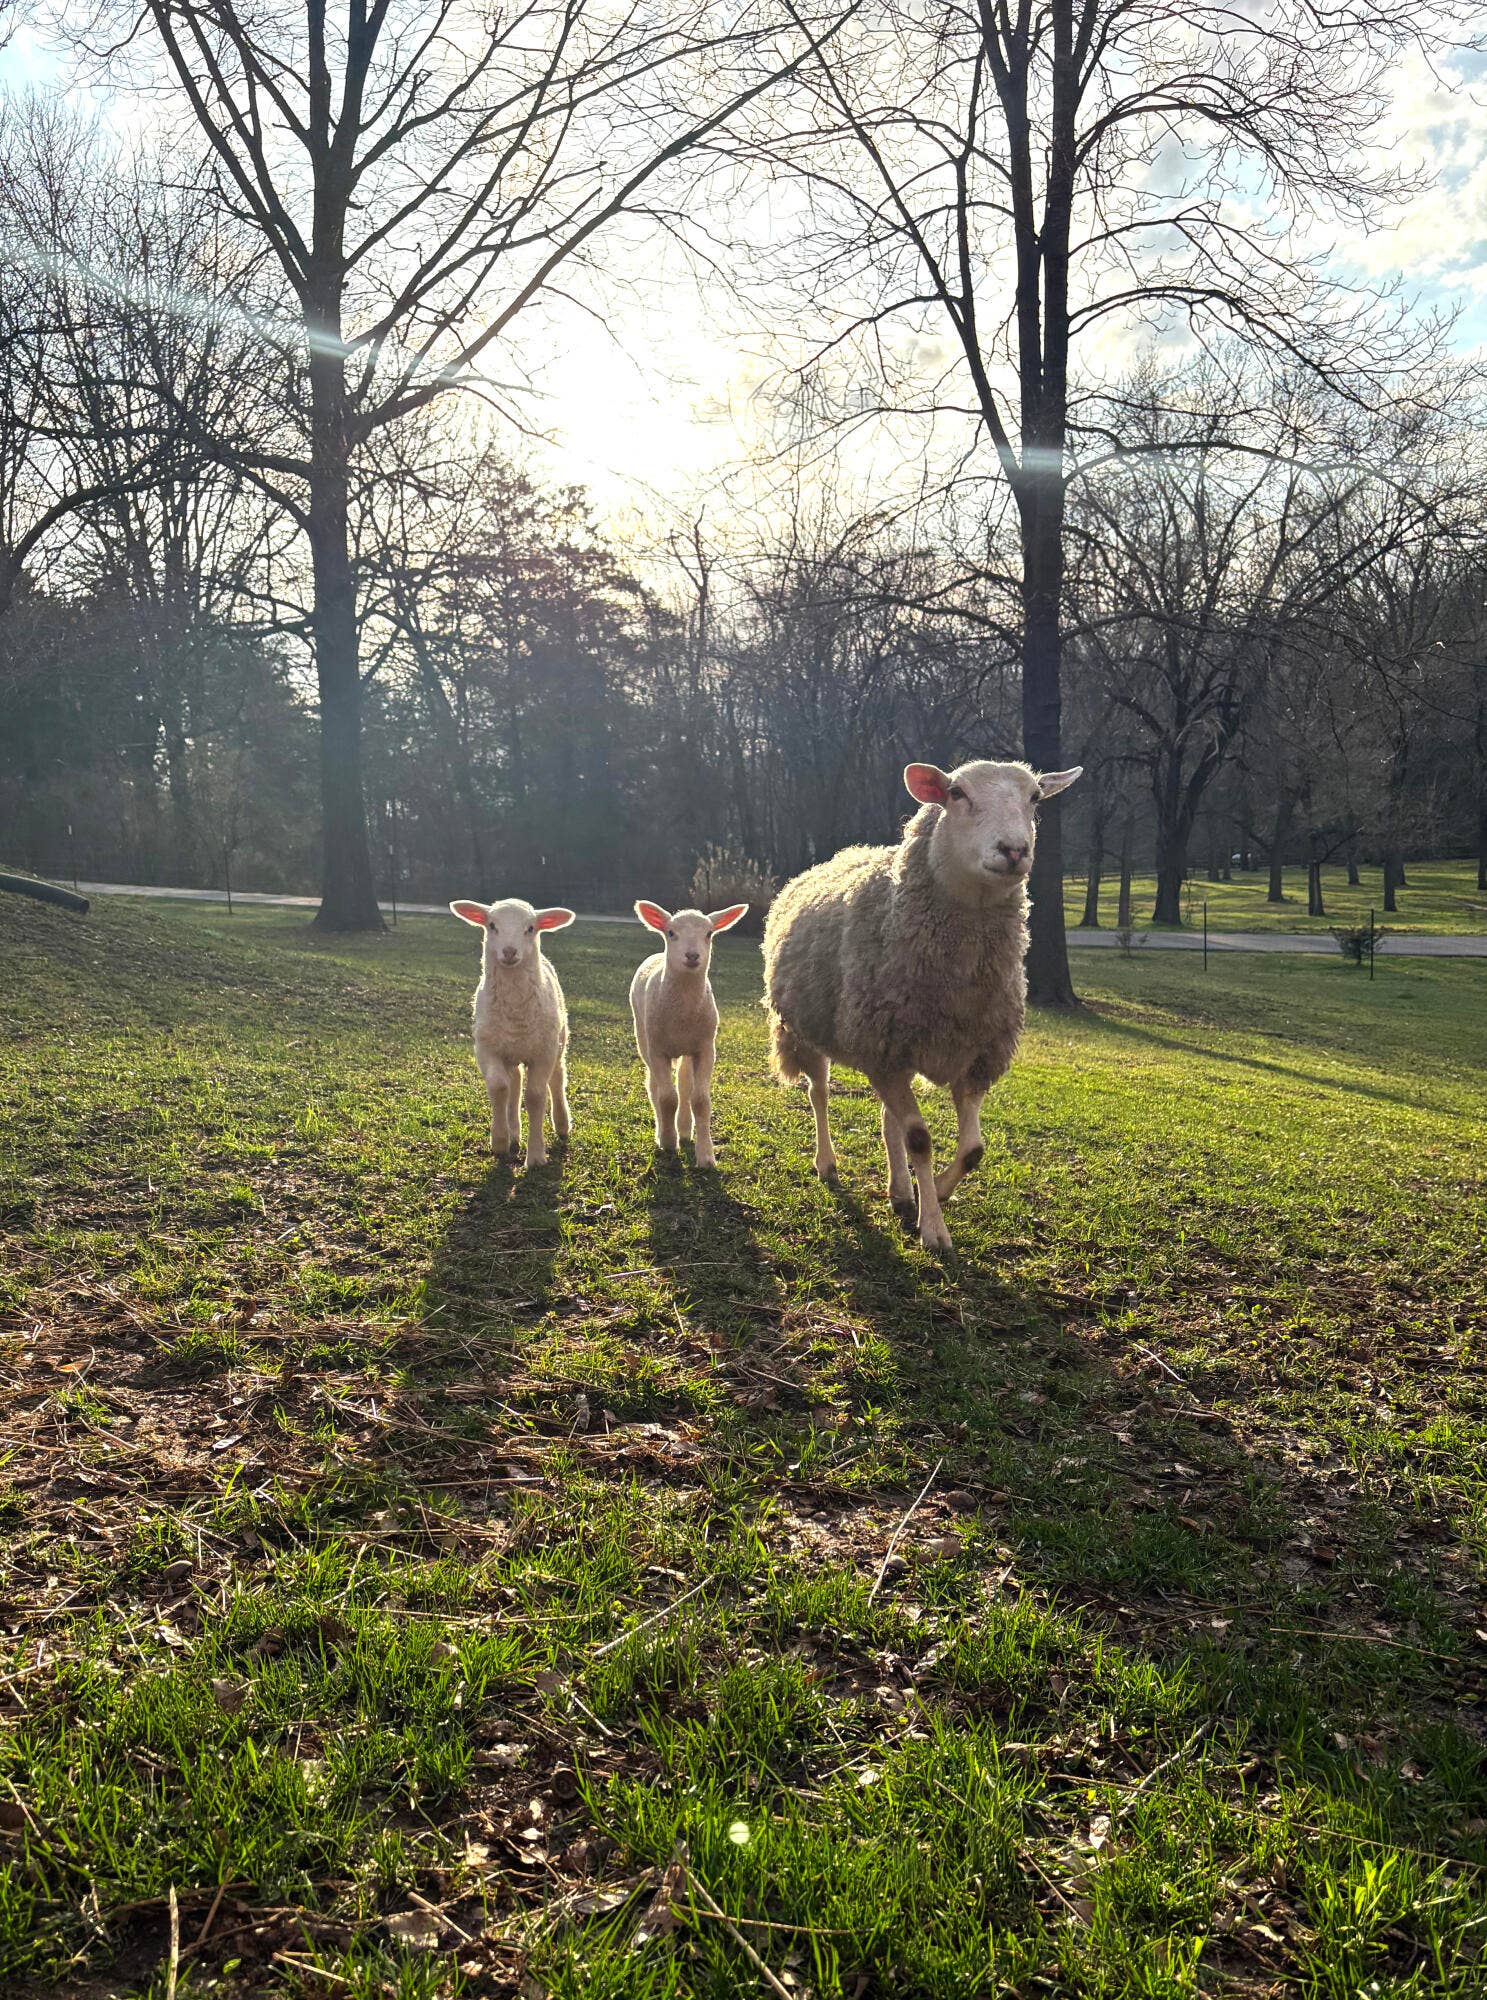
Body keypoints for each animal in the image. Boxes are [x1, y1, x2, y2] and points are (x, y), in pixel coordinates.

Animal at [450, 897, 576, 1164]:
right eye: (491, 925)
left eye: (530, 928)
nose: (509, 952)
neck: (515, 1013)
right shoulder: (486, 1049)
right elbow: (500, 1087)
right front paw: (499, 1141)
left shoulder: (543, 1053)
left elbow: (536, 1096)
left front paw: (536, 1156)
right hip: (510, 1051)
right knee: (514, 1084)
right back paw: (514, 1133)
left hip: (558, 1042)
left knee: (557, 1079)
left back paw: (562, 1125)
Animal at [629, 901, 750, 1166]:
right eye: (671, 933)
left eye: (709, 933)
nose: (693, 956)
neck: (682, 1016)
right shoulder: (659, 1049)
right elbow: (666, 1098)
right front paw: (667, 1142)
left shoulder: (705, 1047)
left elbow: (700, 1100)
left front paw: (706, 1156)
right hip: (643, 1036)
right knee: (654, 1086)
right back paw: (665, 1131)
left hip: (687, 1048)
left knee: (684, 1084)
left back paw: (685, 1130)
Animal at [762, 758, 1082, 1249]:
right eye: (956, 793)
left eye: (1035, 798)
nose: (1014, 850)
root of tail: (837, 856)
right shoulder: (884, 1051)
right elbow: (920, 1139)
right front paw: (933, 1229)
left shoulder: (973, 1057)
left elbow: (972, 1150)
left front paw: (937, 1193)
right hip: (810, 1030)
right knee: (820, 1095)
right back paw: (827, 1163)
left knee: (886, 1118)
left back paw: (899, 1190)